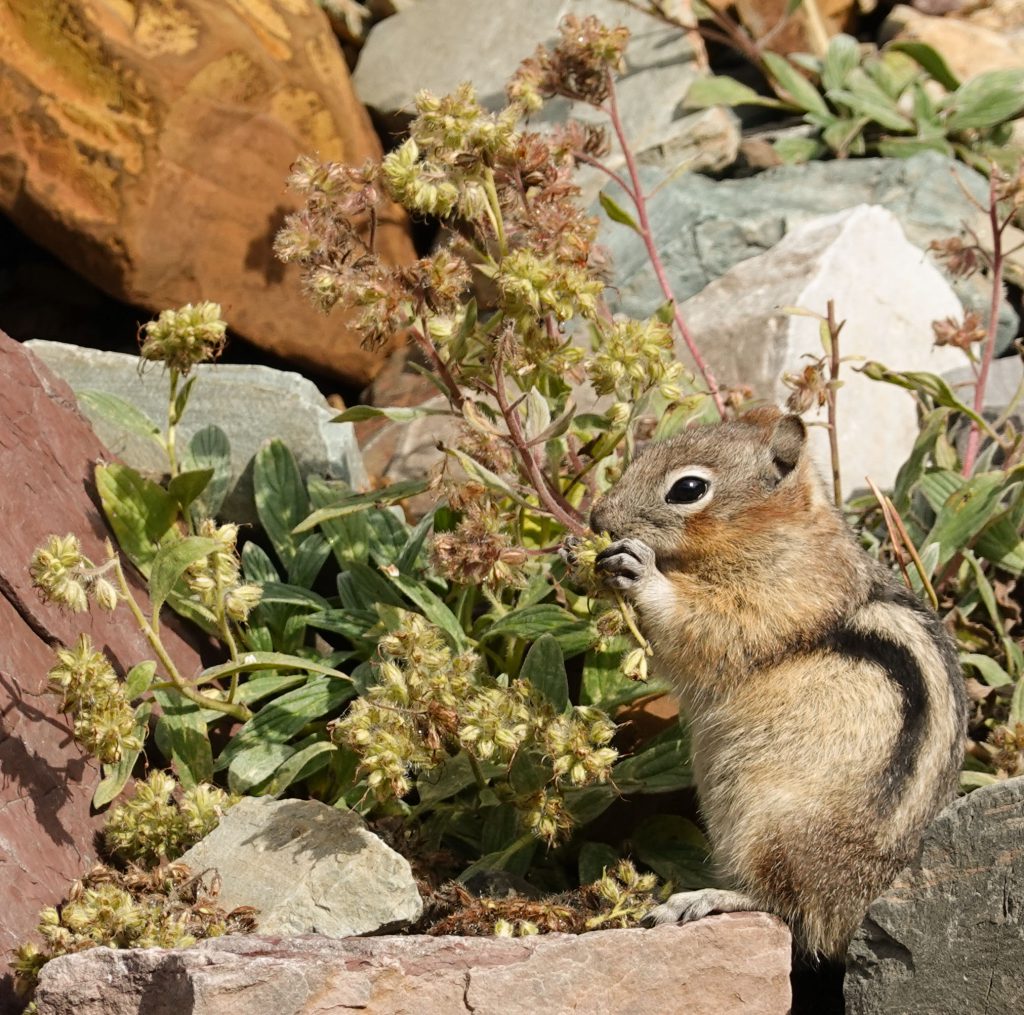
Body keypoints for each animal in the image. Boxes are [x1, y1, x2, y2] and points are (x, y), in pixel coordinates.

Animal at [586, 406, 967, 959]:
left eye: (688, 488)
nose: (596, 519)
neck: (779, 534)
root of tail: (861, 901)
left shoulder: (776, 599)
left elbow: (706, 629)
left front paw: (641, 571)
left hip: (767, 828)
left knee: (788, 908)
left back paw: (703, 899)